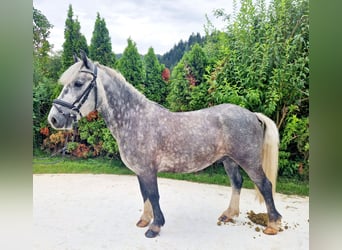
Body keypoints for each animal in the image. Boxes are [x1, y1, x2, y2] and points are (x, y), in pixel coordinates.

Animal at [48, 51, 284, 237]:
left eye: (78, 83)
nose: (54, 119)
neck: (136, 119)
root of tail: (252, 115)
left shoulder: (148, 170)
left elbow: (154, 195)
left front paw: (155, 227)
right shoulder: (140, 171)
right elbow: (145, 194)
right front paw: (145, 220)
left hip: (249, 160)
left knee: (264, 185)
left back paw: (273, 224)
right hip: (229, 160)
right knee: (237, 182)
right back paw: (229, 214)